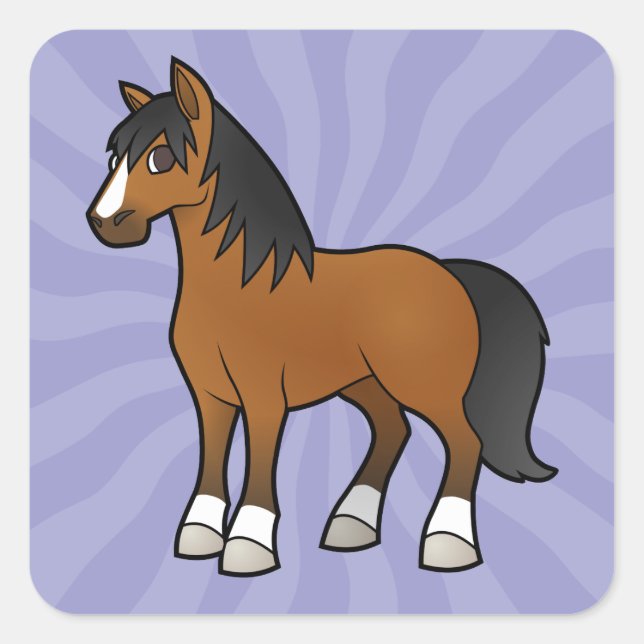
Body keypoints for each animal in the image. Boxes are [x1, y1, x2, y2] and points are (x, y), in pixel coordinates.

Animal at [86, 57, 557, 577]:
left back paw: (447, 544)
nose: (104, 222)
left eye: (162, 158)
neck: (243, 285)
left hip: (428, 388)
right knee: (393, 430)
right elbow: (212, 459)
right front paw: (198, 536)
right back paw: (350, 526)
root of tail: (448, 272)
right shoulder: (209, 393)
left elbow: (260, 459)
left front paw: (248, 547)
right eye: (113, 158)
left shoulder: (264, 397)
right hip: (365, 383)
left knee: (464, 443)